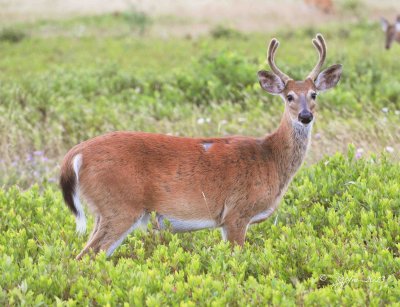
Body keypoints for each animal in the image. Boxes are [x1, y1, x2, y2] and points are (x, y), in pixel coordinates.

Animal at [59, 33, 340, 260]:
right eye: (289, 96)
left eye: (314, 94)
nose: (305, 116)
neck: (270, 158)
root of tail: (75, 155)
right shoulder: (236, 213)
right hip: (119, 206)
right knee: (86, 257)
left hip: (103, 210)